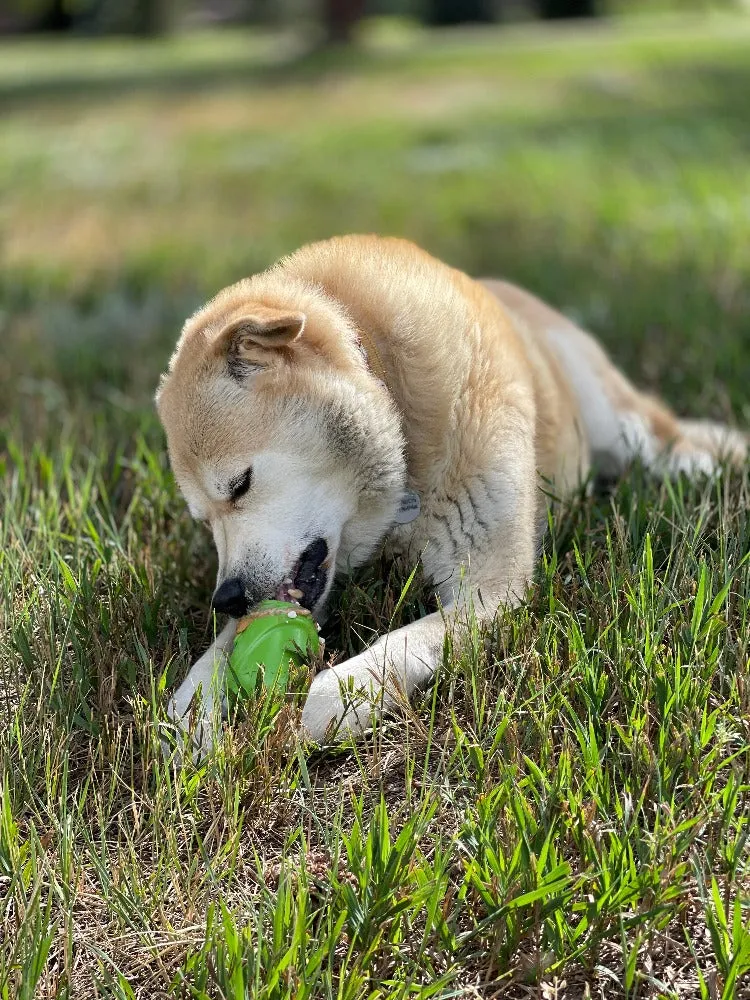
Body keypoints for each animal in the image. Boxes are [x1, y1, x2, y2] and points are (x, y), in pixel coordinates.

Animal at [156, 232, 748, 752]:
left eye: (239, 485)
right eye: (204, 520)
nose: (226, 597)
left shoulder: (491, 587)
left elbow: (387, 655)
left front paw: (322, 706)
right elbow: (215, 659)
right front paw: (194, 711)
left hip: (618, 422)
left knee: (662, 436)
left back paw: (707, 463)